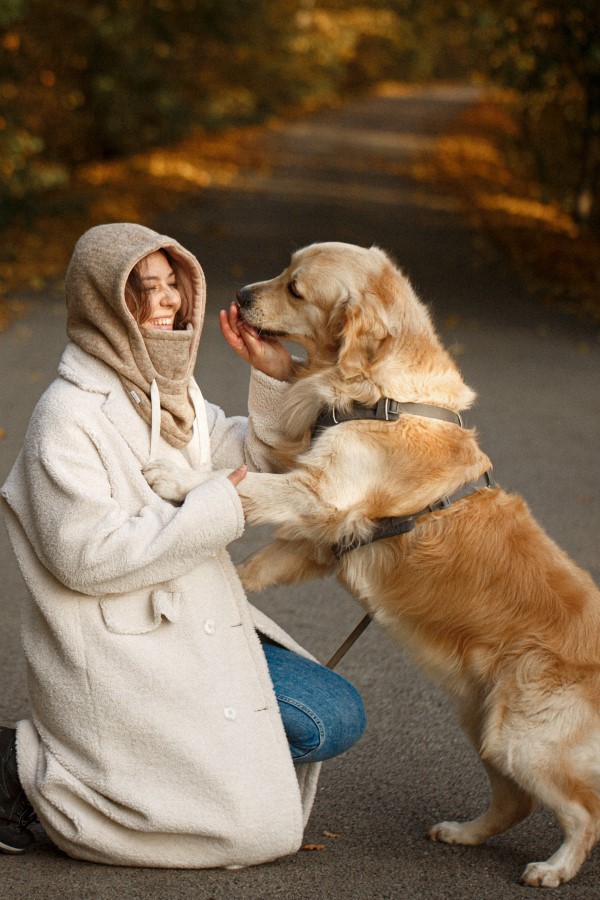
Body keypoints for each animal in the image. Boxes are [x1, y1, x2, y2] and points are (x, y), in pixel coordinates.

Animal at [145, 243, 600, 888]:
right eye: (284, 270)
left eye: (296, 288)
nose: (240, 295)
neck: (381, 396)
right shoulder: (320, 539)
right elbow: (253, 563)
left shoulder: (320, 497)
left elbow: (243, 481)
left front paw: (176, 476)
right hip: (484, 722)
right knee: (515, 801)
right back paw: (461, 833)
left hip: (525, 737)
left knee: (585, 813)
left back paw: (554, 868)